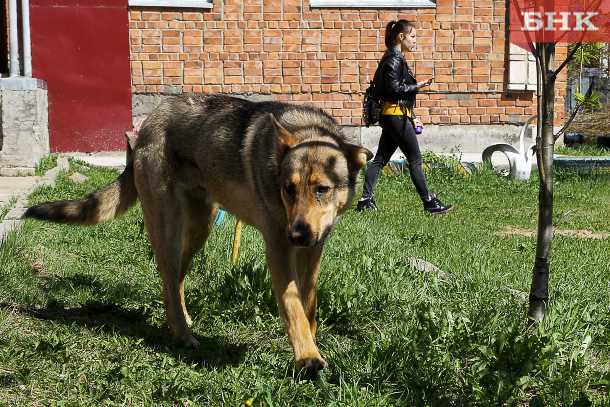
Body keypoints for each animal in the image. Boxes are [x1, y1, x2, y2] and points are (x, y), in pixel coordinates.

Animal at [23, 94, 370, 378]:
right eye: (288, 189)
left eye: (322, 189)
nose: (296, 234)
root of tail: (148, 124)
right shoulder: (278, 248)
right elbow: (293, 305)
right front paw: (308, 357)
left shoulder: (314, 250)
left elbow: (308, 303)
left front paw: (311, 340)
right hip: (169, 229)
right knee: (167, 275)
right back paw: (182, 335)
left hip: (199, 230)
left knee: (174, 281)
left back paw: (181, 321)